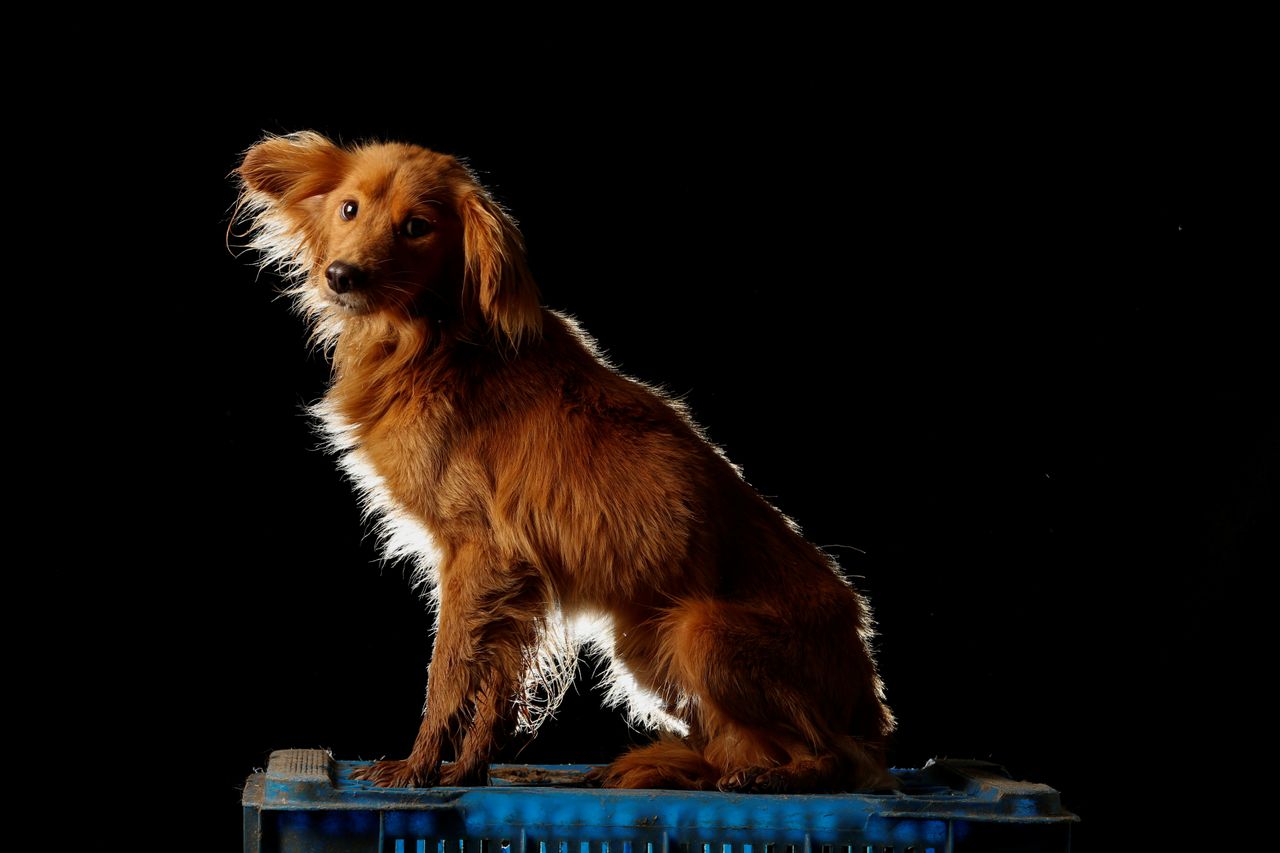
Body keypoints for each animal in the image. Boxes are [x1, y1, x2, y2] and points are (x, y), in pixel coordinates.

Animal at [240, 133, 896, 788]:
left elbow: (449, 671)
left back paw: (773, 777)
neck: (435, 343)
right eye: (348, 209)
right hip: (646, 642)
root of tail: (868, 690)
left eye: (417, 227)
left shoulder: (479, 554)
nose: (342, 276)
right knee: (742, 745)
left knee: (842, 756)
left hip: (698, 632)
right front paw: (469, 770)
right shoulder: (517, 578)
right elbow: (497, 683)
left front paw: (418, 768)